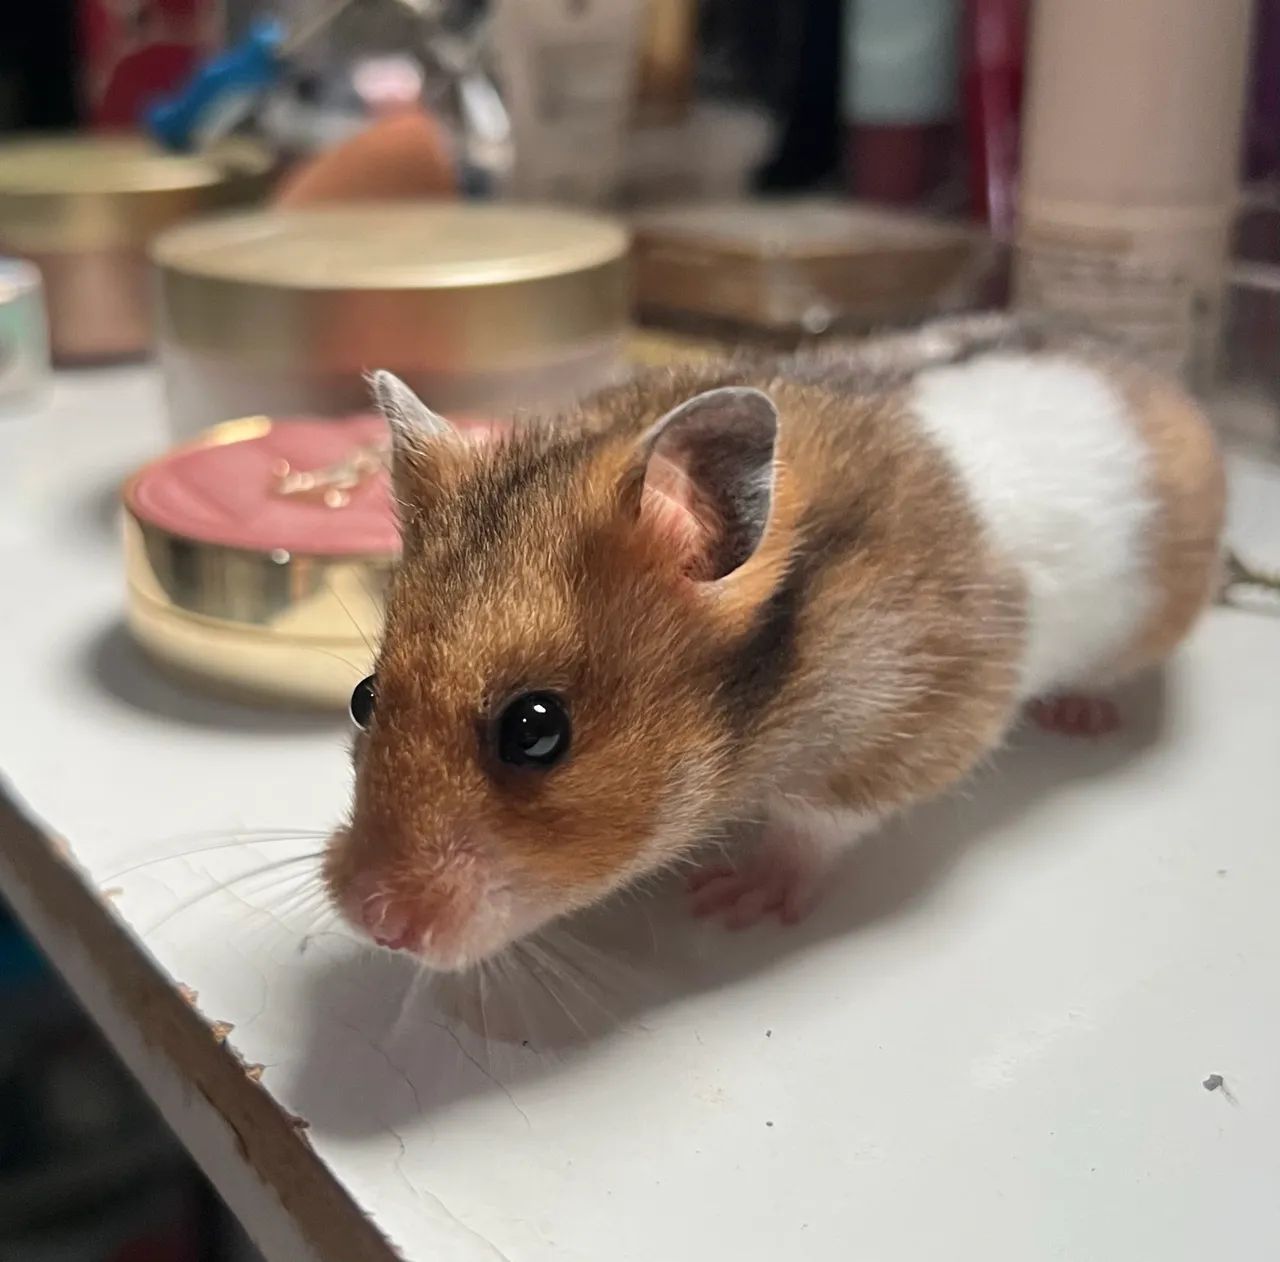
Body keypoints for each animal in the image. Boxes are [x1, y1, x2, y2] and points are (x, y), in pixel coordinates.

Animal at [323, 313, 1225, 971]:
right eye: (364, 698)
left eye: (535, 730)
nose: (372, 921)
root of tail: (1148, 372)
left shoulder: (909, 727)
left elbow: (810, 823)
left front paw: (732, 901)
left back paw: (1082, 714)